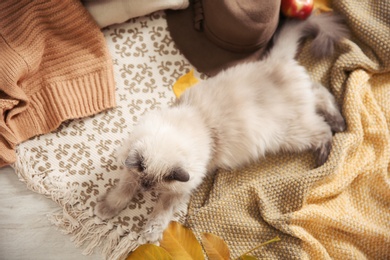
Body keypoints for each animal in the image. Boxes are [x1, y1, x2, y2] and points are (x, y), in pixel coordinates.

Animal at [94, 13, 348, 242]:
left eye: (156, 183)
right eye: (145, 179)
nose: (146, 188)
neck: (195, 122)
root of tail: (275, 62)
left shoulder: (179, 190)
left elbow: (160, 214)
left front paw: (150, 233)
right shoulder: (132, 171)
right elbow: (122, 192)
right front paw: (106, 209)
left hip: (292, 134)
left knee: (323, 126)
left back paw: (328, 146)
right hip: (300, 117)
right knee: (320, 92)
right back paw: (341, 121)